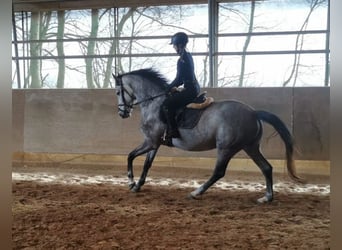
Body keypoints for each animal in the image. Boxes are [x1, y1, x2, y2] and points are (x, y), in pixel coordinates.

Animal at [112, 68, 302, 203]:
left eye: (117, 92)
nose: (122, 113)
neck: (154, 103)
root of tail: (254, 113)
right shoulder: (155, 143)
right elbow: (146, 164)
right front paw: (137, 186)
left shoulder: (150, 142)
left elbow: (130, 156)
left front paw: (131, 182)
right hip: (250, 147)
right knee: (266, 168)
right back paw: (267, 197)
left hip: (226, 148)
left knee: (219, 172)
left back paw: (196, 192)